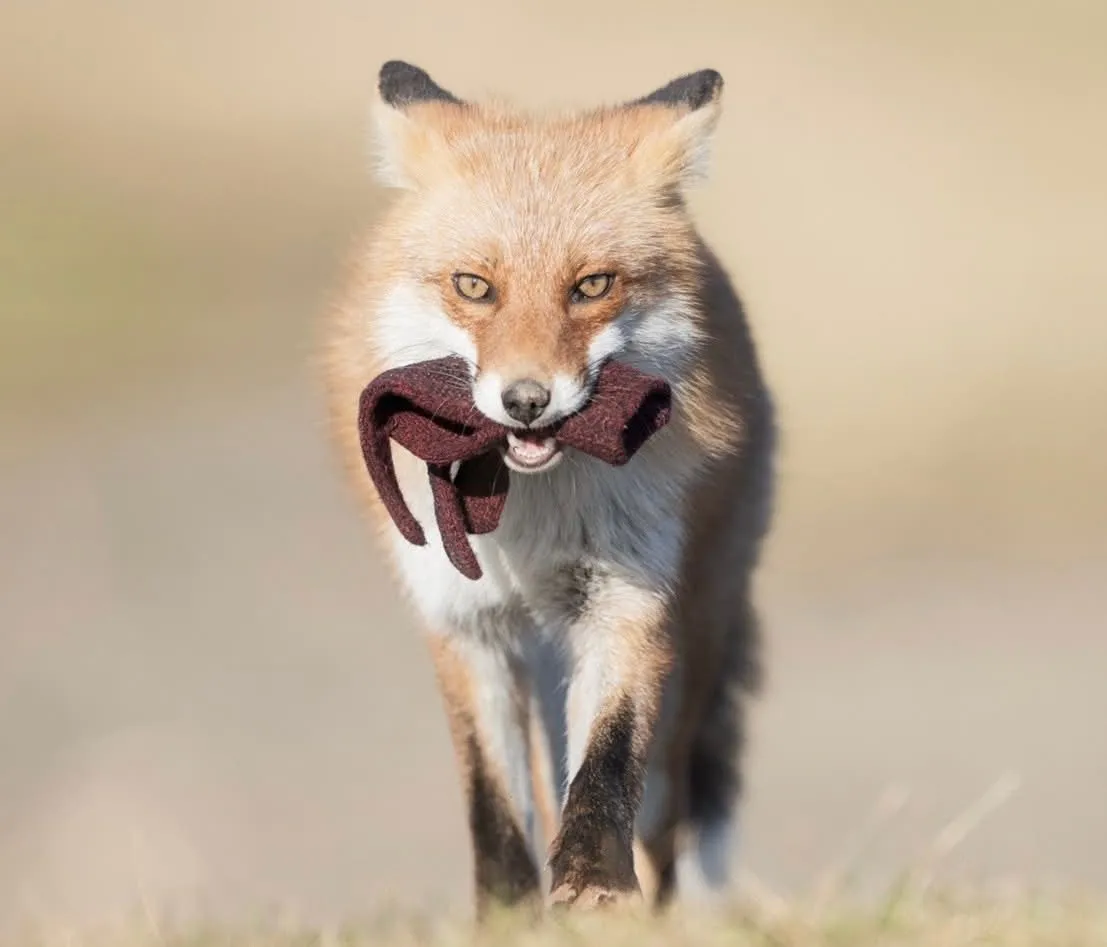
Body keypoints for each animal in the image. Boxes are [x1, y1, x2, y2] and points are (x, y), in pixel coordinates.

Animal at [321, 60, 776, 916]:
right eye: (474, 286)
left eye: (590, 285)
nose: (526, 400)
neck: (530, 517)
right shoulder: (464, 620)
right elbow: (492, 800)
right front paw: (506, 911)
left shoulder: (627, 596)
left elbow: (607, 763)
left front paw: (593, 881)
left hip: (694, 632)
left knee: (663, 806)